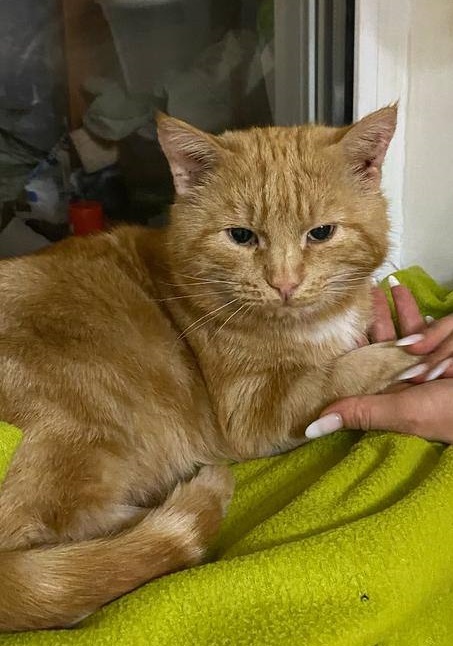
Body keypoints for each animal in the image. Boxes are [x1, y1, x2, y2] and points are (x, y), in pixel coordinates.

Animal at [0, 105, 420, 631]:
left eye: (321, 233)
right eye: (241, 236)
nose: (284, 283)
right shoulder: (252, 412)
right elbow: (333, 374)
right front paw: (399, 355)